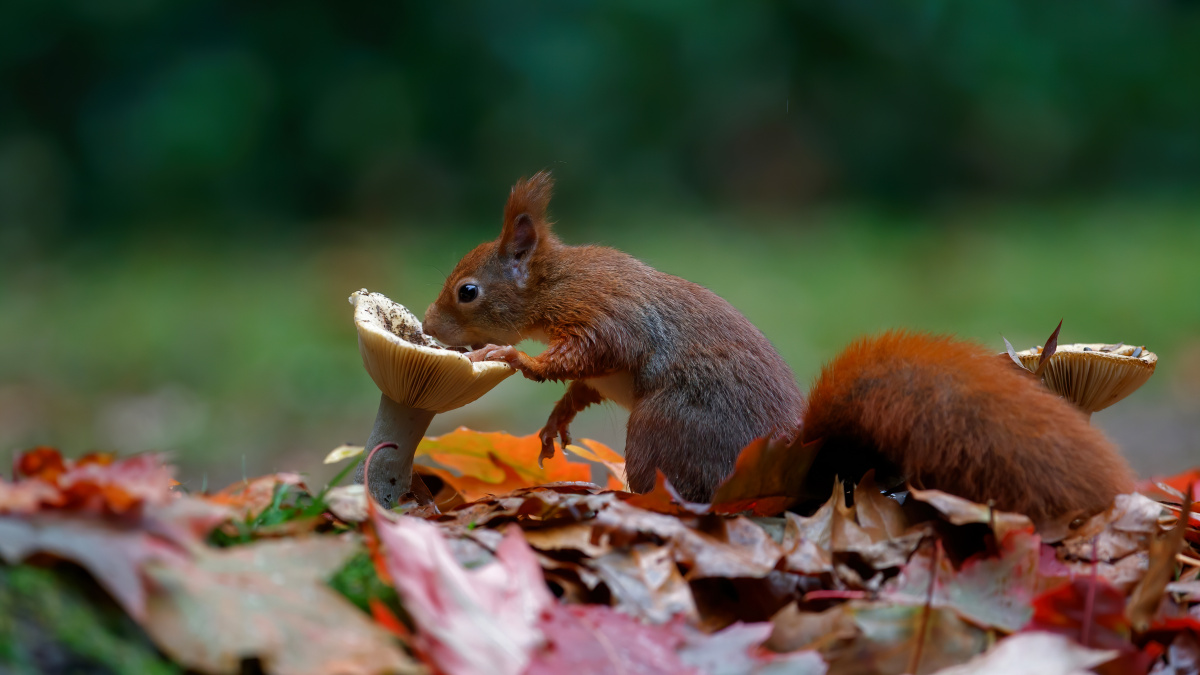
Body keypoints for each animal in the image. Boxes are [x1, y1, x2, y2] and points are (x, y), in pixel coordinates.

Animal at [427, 169, 1137, 521]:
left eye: (467, 291)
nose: (430, 330)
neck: (555, 281)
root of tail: (791, 464)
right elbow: (580, 385)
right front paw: (556, 418)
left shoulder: (606, 313)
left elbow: (586, 354)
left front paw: (512, 357)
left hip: (664, 427)